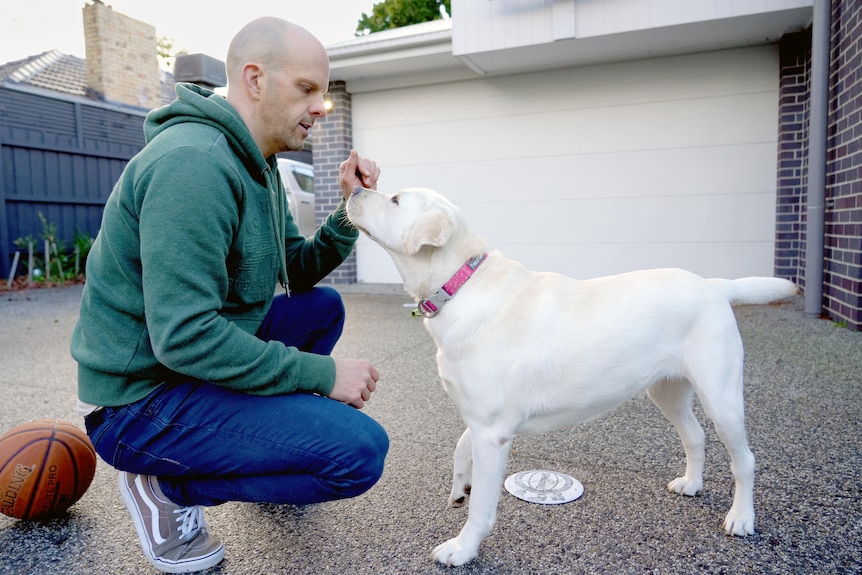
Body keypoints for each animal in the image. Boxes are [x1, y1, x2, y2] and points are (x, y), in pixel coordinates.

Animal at [346, 186, 804, 568]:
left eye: (394, 199)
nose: (352, 187)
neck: (461, 285)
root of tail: (714, 286)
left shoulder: (493, 431)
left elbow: (482, 510)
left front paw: (463, 548)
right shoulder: (482, 420)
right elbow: (461, 447)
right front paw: (462, 486)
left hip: (721, 397)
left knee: (744, 460)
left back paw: (741, 517)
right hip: (666, 392)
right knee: (695, 436)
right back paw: (692, 483)